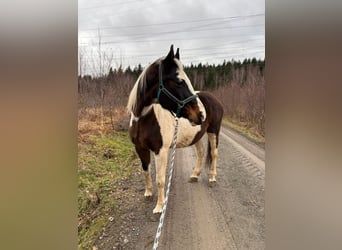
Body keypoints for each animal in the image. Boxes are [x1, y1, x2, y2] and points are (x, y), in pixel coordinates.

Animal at [127, 45, 223, 213]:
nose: (200, 114)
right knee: (201, 152)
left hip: (213, 132)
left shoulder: (161, 150)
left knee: (214, 153)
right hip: (197, 136)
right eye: (179, 81)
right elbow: (145, 171)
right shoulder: (140, 148)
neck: (143, 118)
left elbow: (160, 179)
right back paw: (194, 175)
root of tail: (215, 99)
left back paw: (212, 178)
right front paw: (148, 193)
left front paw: (159, 207)